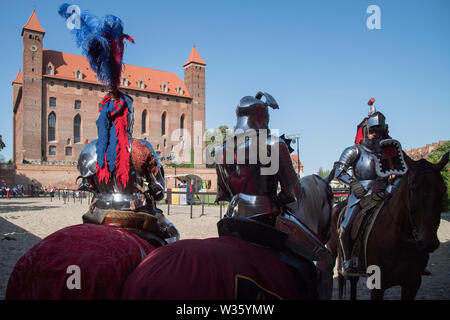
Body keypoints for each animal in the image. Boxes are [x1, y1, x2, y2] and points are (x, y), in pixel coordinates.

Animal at [326, 151, 450, 298]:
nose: (429, 241)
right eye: (413, 189)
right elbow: (340, 169)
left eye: (443, 189)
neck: (401, 236)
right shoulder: (377, 285)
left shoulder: (413, 284)